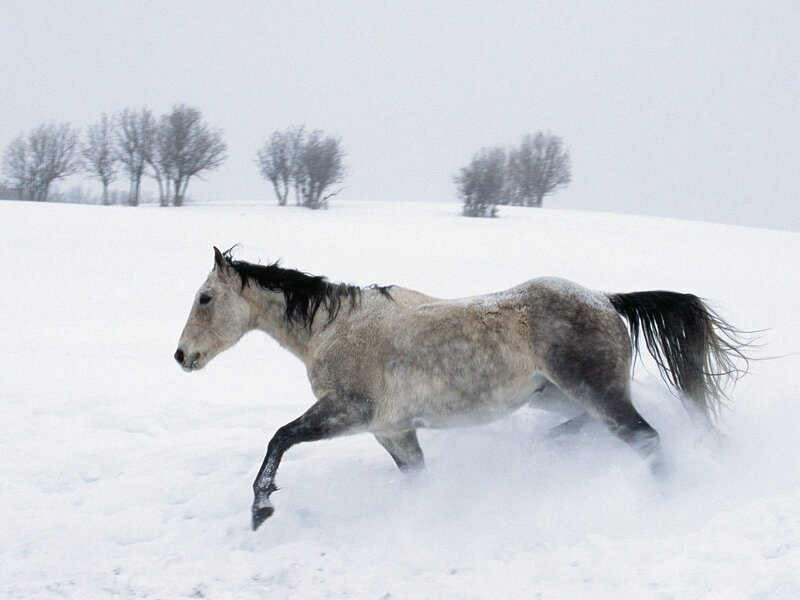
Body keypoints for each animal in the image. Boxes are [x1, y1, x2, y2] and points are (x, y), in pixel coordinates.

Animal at [174, 247, 749, 531]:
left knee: (646, 440)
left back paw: (665, 502)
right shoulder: (392, 430)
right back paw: (547, 450)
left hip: (595, 391)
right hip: (557, 395)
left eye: (205, 298)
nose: (181, 356)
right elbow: (417, 477)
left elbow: (279, 437)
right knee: (591, 426)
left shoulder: (348, 411)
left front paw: (260, 509)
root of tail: (606, 300)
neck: (335, 328)